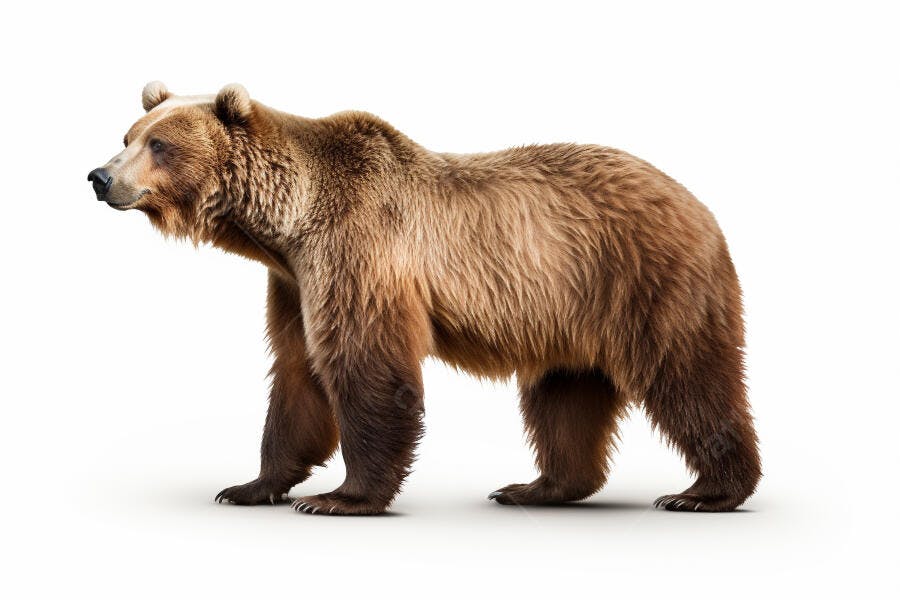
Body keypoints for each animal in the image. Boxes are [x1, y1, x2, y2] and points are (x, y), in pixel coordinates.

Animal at [87, 82, 761, 515]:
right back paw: (535, 487)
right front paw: (250, 485)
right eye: (128, 134)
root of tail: (699, 204)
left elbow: (365, 369)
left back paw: (705, 492)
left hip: (646, 280)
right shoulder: (293, 281)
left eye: (159, 145)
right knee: (564, 397)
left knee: (688, 376)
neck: (284, 227)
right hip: (567, 310)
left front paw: (338, 497)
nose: (99, 176)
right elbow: (296, 372)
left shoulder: (356, 253)